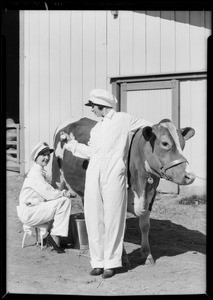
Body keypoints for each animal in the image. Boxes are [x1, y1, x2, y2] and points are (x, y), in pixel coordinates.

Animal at [51, 116, 195, 264]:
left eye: (183, 144)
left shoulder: (150, 196)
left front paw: (147, 254)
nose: (190, 176)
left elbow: (145, 225)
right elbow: (119, 226)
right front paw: (122, 257)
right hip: (57, 179)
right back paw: (56, 242)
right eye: (165, 143)